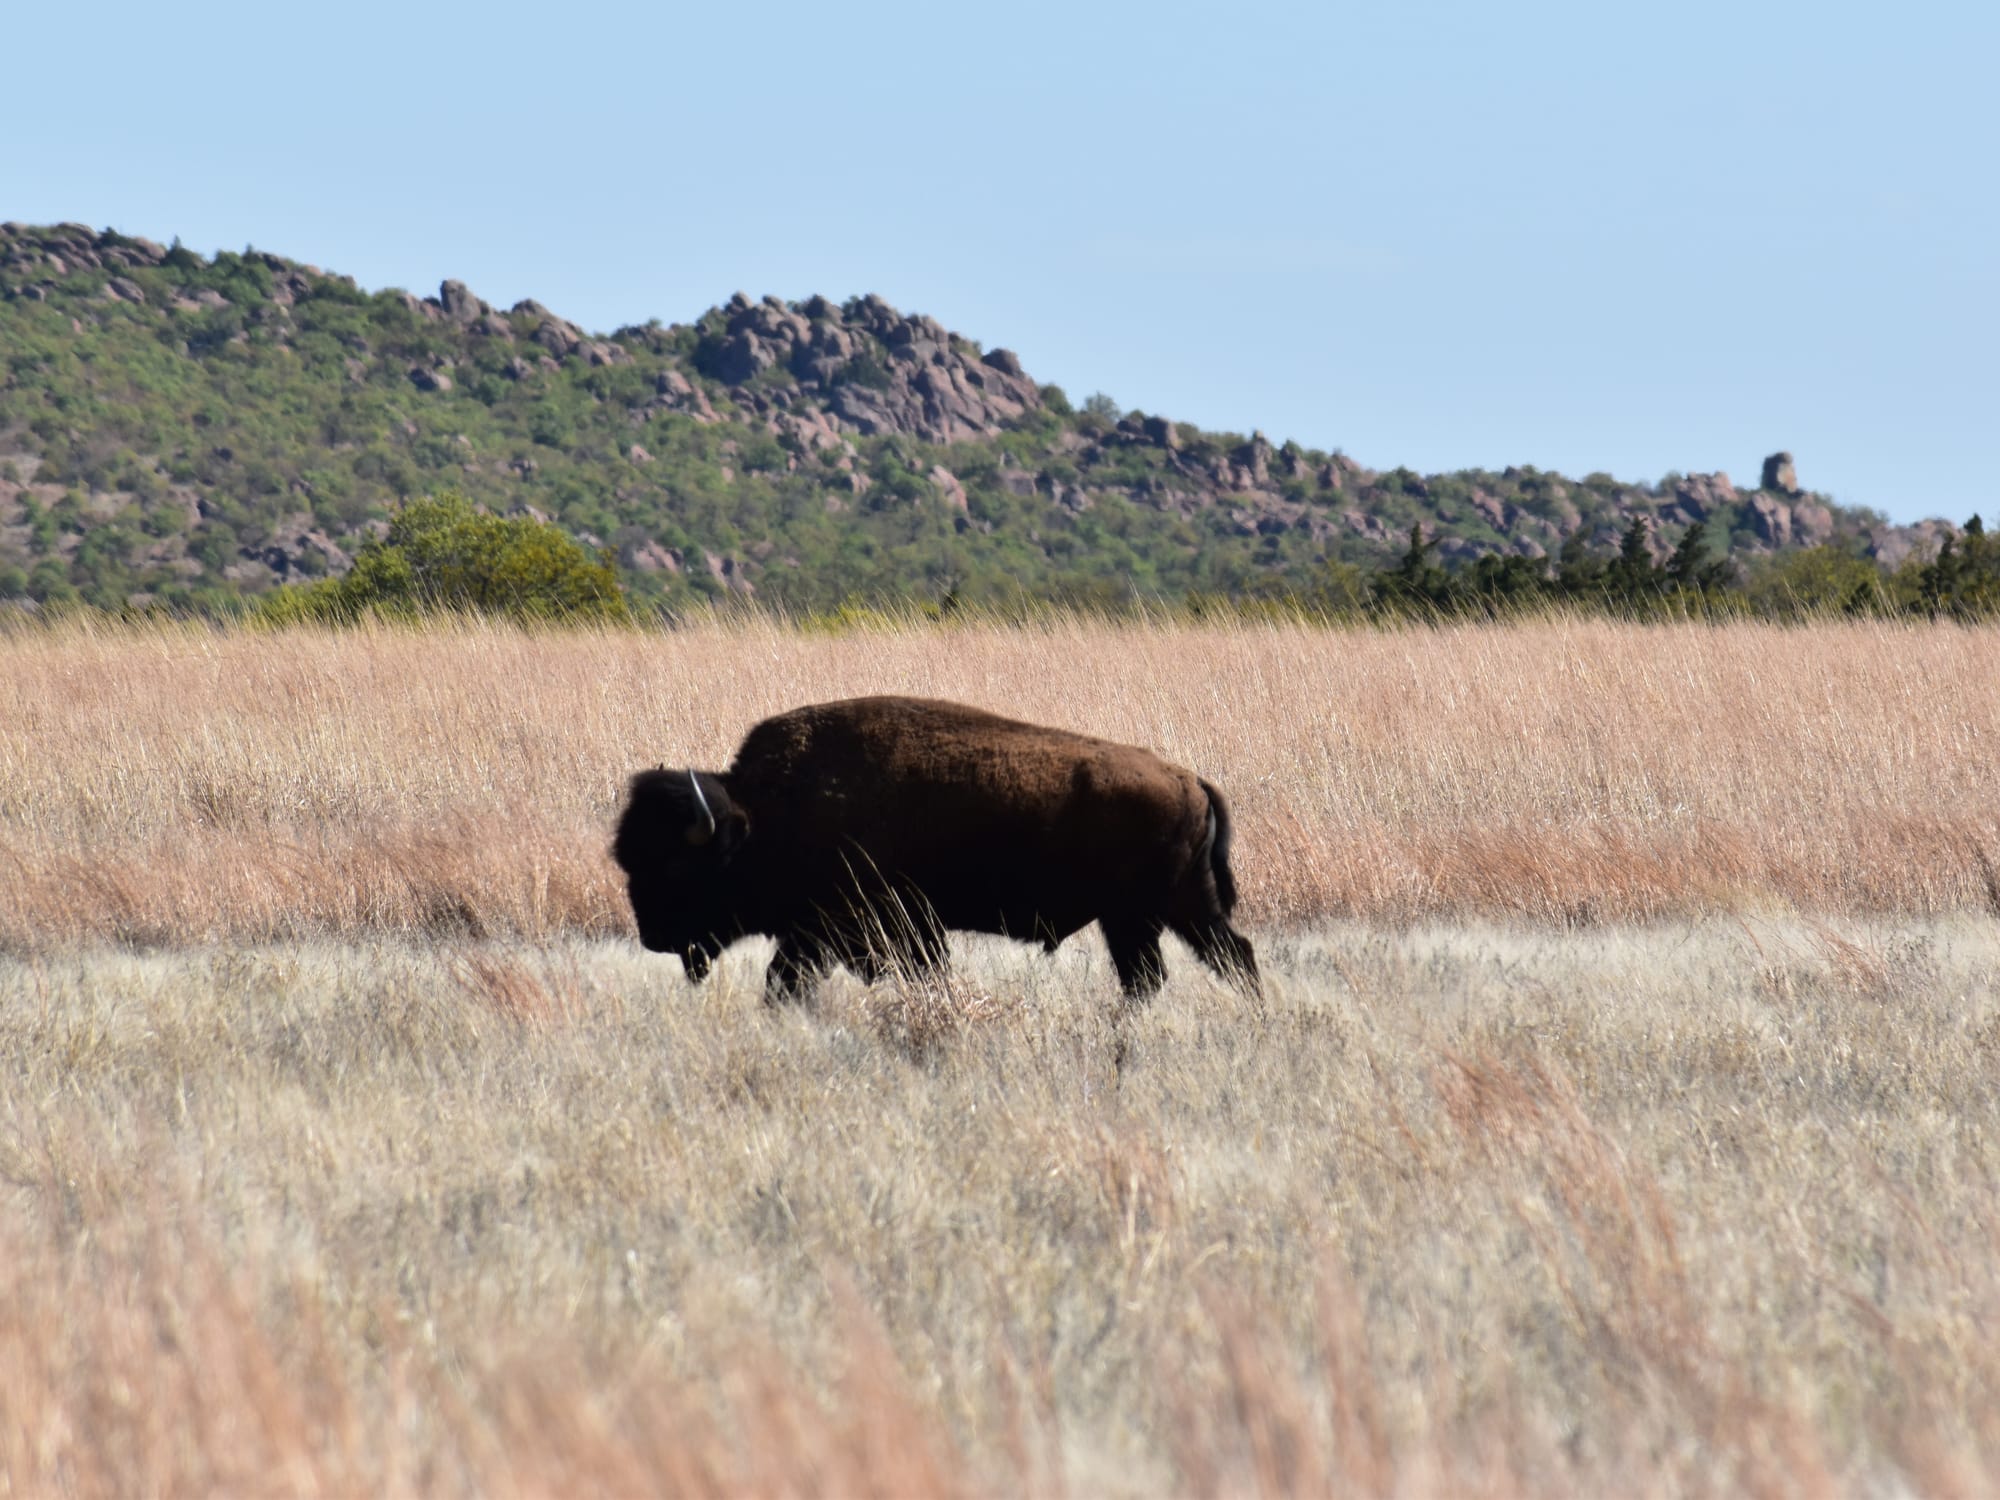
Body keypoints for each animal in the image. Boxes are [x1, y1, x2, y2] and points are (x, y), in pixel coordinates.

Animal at [612, 695, 1256, 1003]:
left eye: (676, 864)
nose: (653, 937)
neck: (765, 815)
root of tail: (1189, 780)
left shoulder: (852, 928)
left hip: (1162, 910)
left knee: (1223, 960)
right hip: (1142, 917)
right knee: (1171, 972)